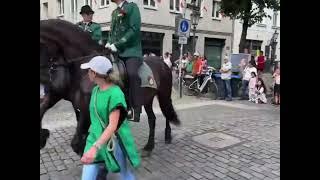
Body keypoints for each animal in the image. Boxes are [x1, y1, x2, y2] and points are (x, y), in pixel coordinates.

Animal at [40, 18, 180, 156]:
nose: (46, 78)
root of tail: (164, 63)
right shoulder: (58, 95)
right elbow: (43, 107)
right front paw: (43, 135)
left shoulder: (86, 108)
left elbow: (78, 142)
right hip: (147, 99)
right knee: (152, 119)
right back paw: (149, 147)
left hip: (164, 94)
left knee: (166, 112)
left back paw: (167, 136)